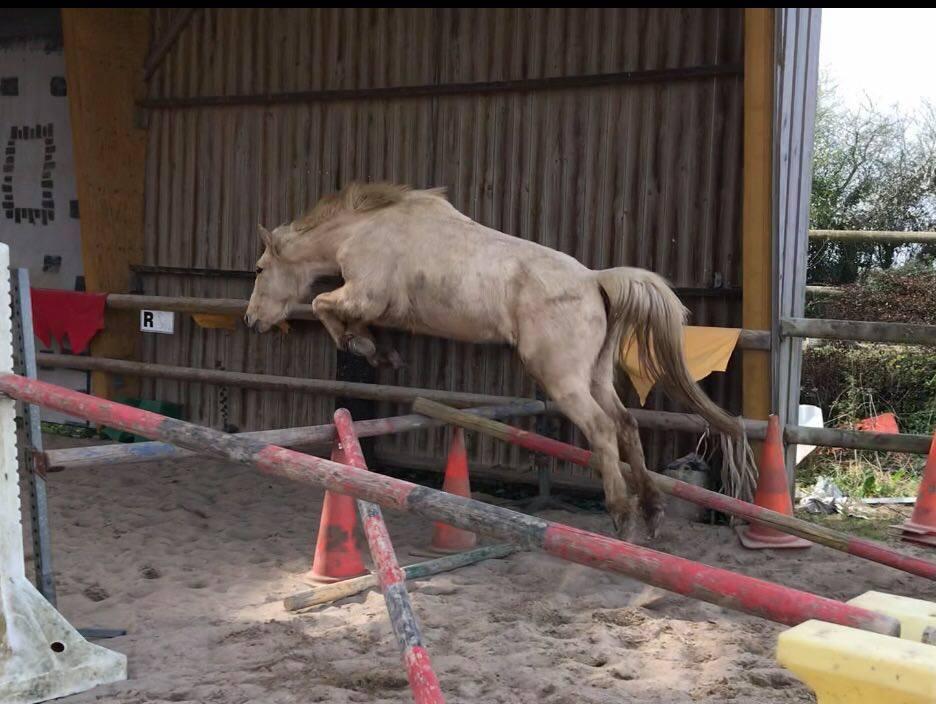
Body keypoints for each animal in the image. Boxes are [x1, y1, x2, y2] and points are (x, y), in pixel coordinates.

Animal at [245, 183, 744, 540]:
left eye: (260, 269)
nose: (251, 320)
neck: (363, 228)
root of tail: (595, 280)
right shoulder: (373, 303)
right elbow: (349, 317)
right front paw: (379, 350)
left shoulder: (364, 294)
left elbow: (325, 306)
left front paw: (364, 348)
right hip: (596, 376)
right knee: (627, 426)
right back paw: (653, 514)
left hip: (563, 380)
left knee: (603, 430)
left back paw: (622, 519)